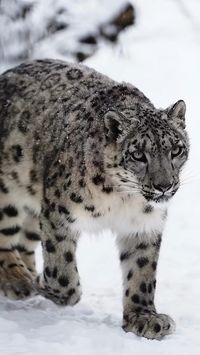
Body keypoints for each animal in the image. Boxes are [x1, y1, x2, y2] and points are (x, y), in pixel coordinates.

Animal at [0, 59, 188, 340]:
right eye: (138, 154)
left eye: (176, 150)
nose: (164, 186)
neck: (125, 199)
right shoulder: (58, 213)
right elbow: (62, 274)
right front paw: (45, 284)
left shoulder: (144, 225)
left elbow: (142, 270)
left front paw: (144, 317)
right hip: (8, 193)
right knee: (4, 237)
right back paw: (18, 279)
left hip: (34, 207)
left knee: (24, 241)